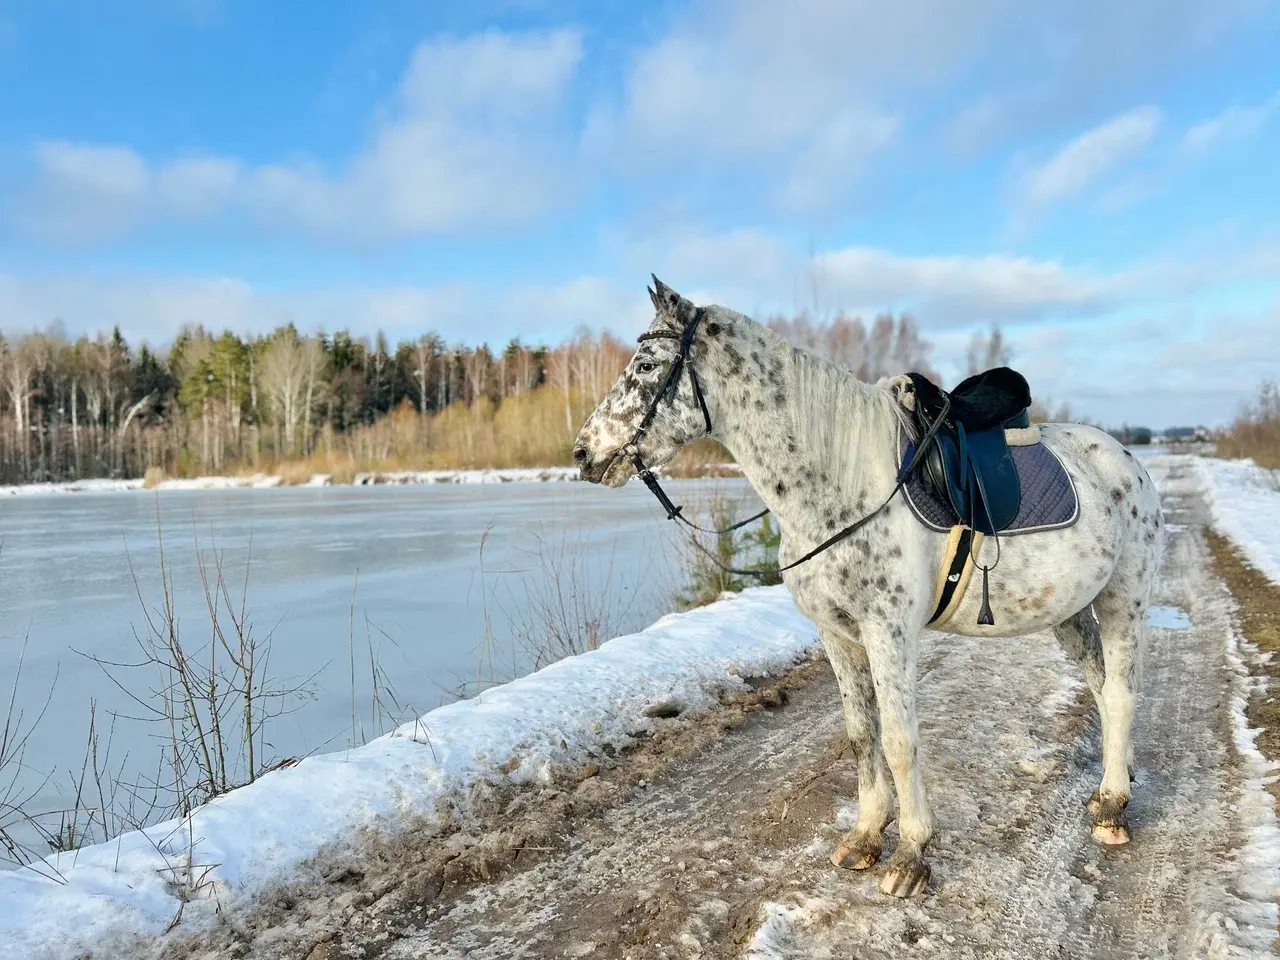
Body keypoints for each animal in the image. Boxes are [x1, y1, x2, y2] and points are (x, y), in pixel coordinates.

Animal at [572, 278, 1163, 898]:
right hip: (1070, 612)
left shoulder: (888, 633)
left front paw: (910, 855)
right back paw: (1110, 786)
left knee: (1121, 692)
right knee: (1101, 685)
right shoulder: (838, 634)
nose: (583, 453)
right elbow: (861, 735)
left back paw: (1114, 808)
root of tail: (1126, 460)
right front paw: (864, 837)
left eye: (646, 365)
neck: (842, 483)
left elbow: (900, 741)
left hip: (1124, 602)